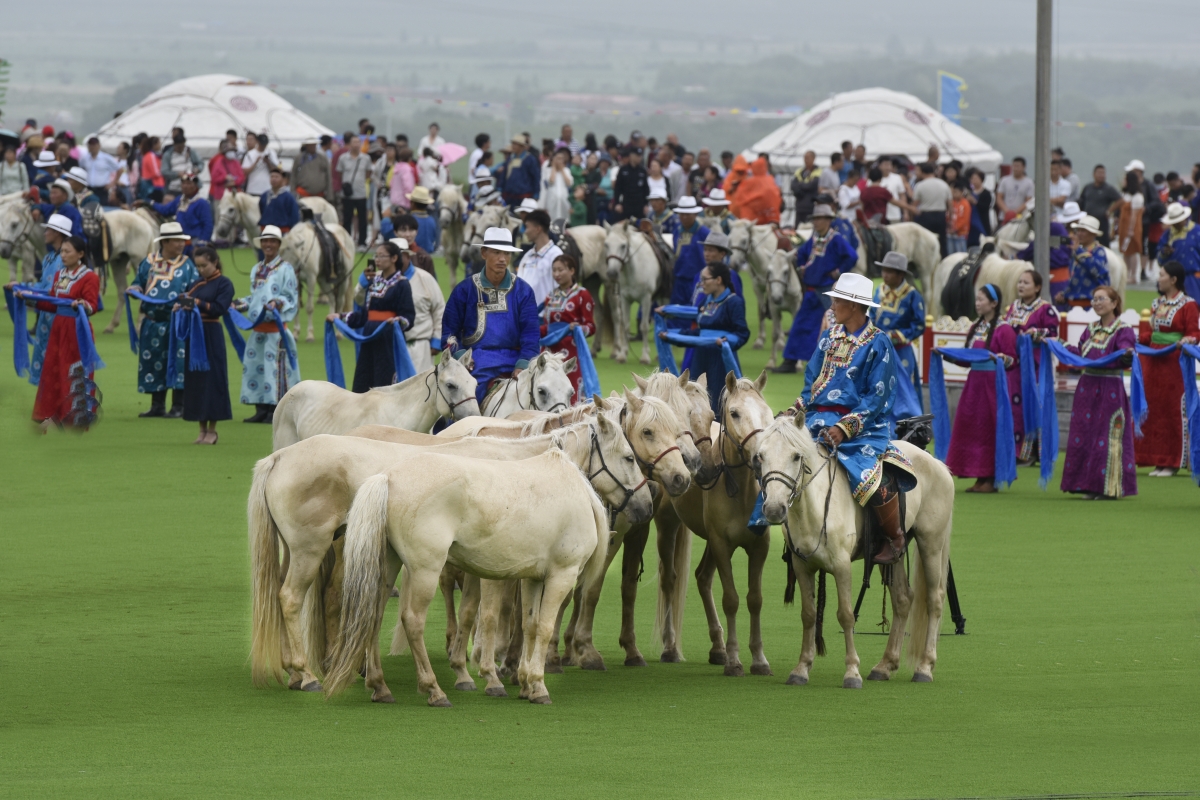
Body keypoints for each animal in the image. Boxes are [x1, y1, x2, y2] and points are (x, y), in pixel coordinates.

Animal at [321, 412, 657, 705]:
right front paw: (535, 684)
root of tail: (387, 477)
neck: (564, 479)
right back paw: (433, 690)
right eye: (629, 457)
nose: (647, 506)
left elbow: (529, 625)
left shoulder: (533, 578)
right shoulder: (560, 574)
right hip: (425, 570)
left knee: (374, 615)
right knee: (412, 621)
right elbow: (541, 627)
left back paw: (380, 686)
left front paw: (524, 683)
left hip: (388, 565)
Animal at [604, 220, 662, 367]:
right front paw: (622, 355)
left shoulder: (646, 299)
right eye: (606, 244)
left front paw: (645, 357)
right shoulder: (625, 299)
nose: (612, 273)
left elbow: (644, 326)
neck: (634, 270)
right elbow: (626, 325)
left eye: (623, 245)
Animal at [753, 412, 950, 690]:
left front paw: (852, 672)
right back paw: (885, 665)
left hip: (931, 542)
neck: (812, 510)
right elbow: (808, 615)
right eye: (760, 456)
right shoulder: (803, 567)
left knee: (934, 599)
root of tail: (937, 464)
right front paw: (801, 669)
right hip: (893, 555)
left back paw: (924, 667)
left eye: (796, 456)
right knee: (903, 600)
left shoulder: (841, 566)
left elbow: (846, 615)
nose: (773, 509)